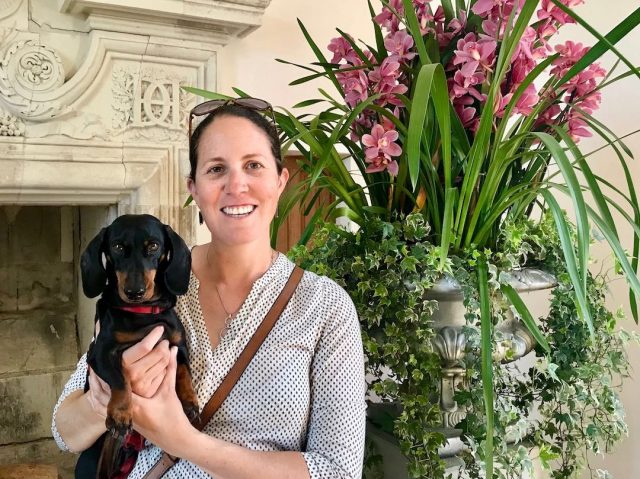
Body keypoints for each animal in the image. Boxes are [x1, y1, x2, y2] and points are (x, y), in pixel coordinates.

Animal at [80, 215, 200, 479]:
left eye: (153, 246)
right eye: (117, 247)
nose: (134, 292)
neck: (144, 315)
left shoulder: (178, 346)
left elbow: (184, 373)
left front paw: (190, 404)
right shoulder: (99, 354)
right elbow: (120, 380)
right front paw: (120, 414)